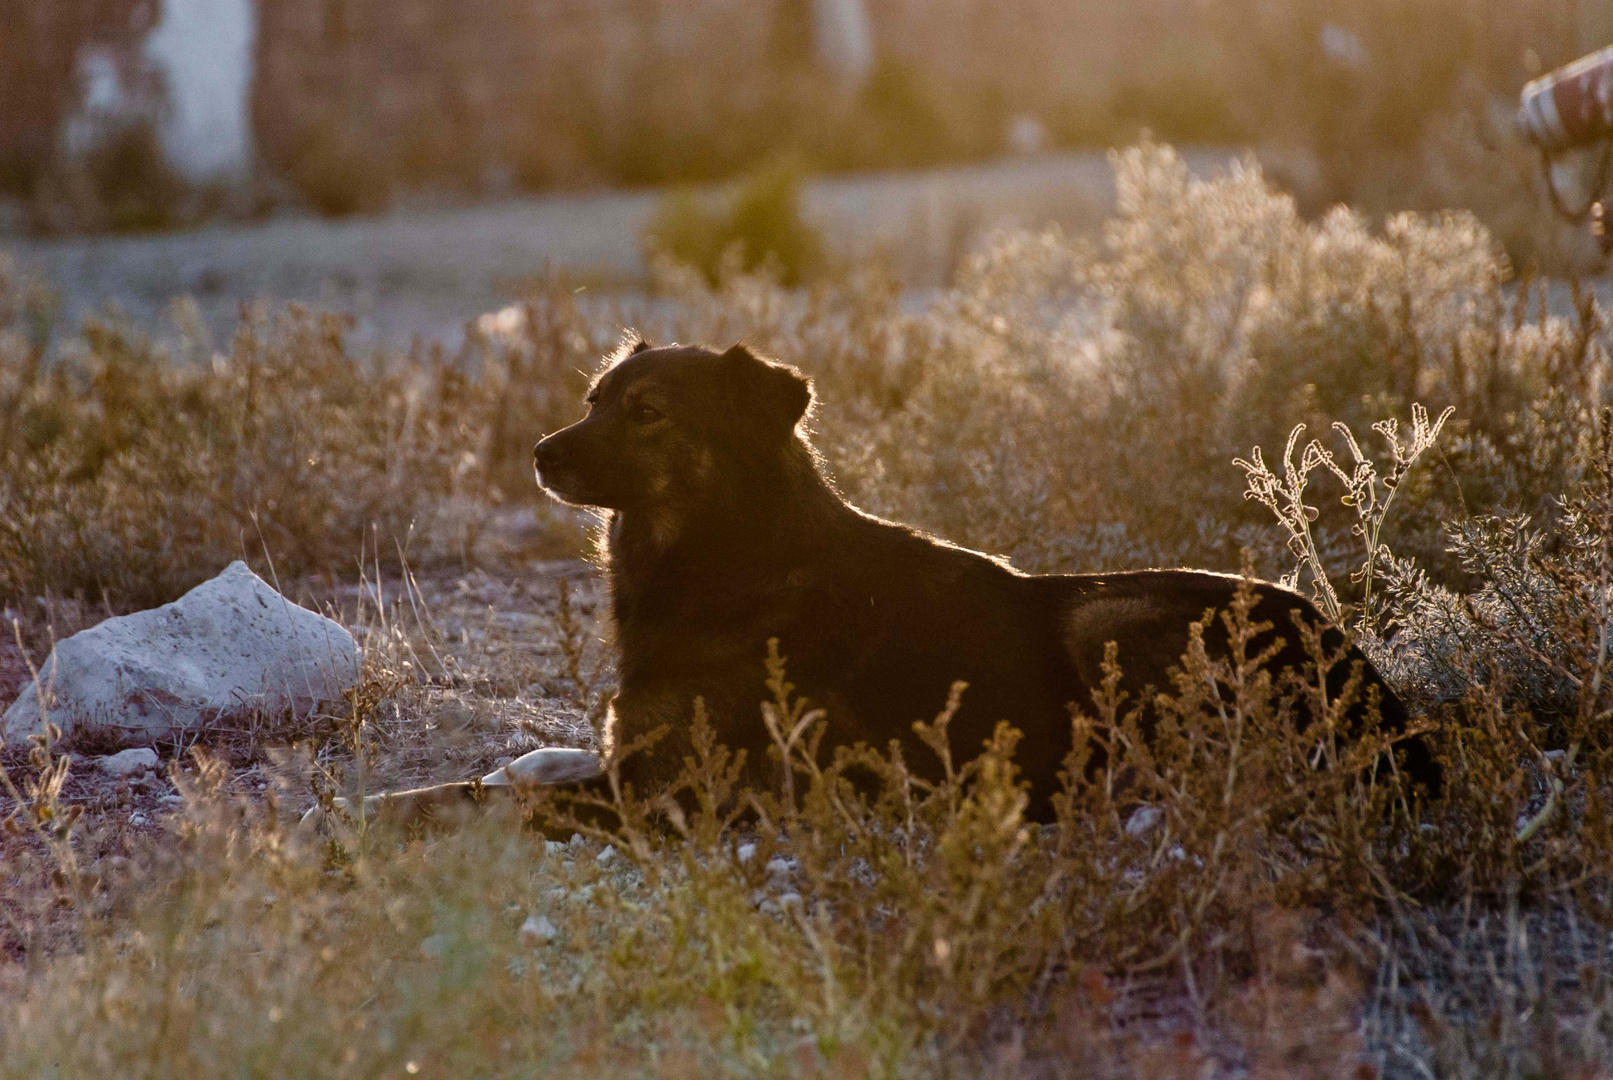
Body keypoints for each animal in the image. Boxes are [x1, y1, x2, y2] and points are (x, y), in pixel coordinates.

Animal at [300, 343, 1438, 831]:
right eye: (591, 398)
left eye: (648, 412)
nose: (540, 454)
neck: (726, 555)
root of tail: (1382, 701)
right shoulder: (635, 757)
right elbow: (522, 768)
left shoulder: (679, 791)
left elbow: (476, 798)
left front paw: (360, 821)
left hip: (1110, 620)